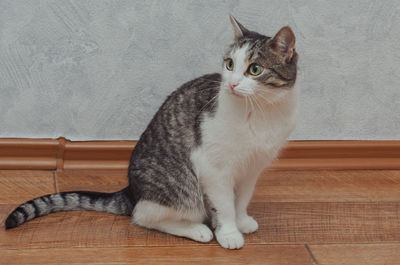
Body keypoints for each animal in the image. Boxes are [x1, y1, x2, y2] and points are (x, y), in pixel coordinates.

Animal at [3, 15, 296, 249]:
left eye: (254, 69)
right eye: (229, 64)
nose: (232, 84)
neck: (260, 113)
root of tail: (131, 191)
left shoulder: (251, 167)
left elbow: (241, 200)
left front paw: (242, 220)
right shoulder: (214, 168)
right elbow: (223, 205)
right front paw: (229, 233)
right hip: (181, 188)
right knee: (143, 215)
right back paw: (197, 229)